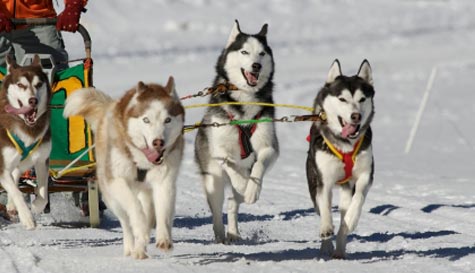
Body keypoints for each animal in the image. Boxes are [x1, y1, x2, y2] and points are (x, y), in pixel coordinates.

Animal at [0, 55, 52, 230]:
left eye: (39, 84)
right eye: (20, 85)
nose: (33, 100)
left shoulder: (42, 160)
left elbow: (43, 192)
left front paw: (36, 206)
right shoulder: (2, 166)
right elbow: (17, 192)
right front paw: (27, 218)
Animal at [64, 77, 186, 258]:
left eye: (168, 120)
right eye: (146, 120)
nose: (158, 142)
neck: (142, 160)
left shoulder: (164, 181)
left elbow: (163, 212)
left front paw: (164, 238)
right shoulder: (117, 181)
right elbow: (134, 208)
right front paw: (140, 230)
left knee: (149, 213)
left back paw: (140, 248)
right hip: (112, 198)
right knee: (127, 223)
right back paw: (132, 247)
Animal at [195, 20, 278, 242]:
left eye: (262, 53)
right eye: (244, 51)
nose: (256, 65)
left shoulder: (270, 147)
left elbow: (259, 165)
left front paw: (252, 190)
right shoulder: (220, 151)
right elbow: (231, 166)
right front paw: (243, 183)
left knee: (233, 205)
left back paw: (233, 232)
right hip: (213, 181)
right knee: (217, 210)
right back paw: (220, 235)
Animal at [306, 59, 378, 258]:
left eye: (362, 99)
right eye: (342, 99)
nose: (356, 116)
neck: (346, 145)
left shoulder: (366, 175)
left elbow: (358, 197)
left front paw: (352, 219)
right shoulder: (324, 180)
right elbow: (325, 206)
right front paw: (326, 228)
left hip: (346, 188)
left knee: (344, 214)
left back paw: (339, 247)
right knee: (321, 206)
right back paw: (327, 245)